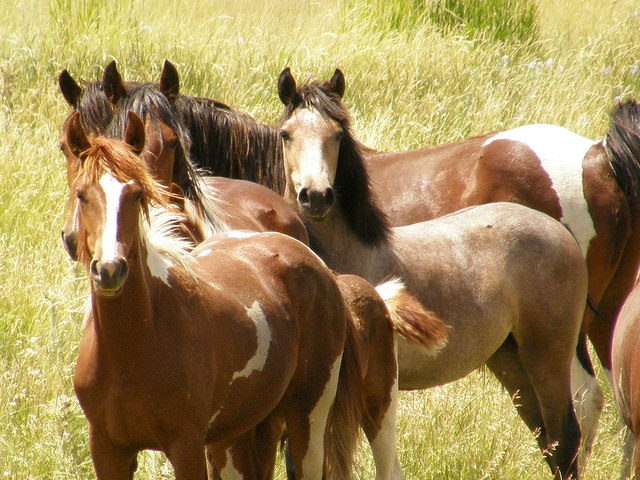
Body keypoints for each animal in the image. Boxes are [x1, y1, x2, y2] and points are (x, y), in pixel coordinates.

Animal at [63, 114, 444, 478]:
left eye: (137, 194)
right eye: (81, 194)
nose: (110, 269)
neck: (134, 343)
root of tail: (321, 269)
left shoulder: (186, 445)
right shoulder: (108, 450)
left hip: (310, 414)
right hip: (241, 433)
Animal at [276, 66, 600, 476]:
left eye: (336, 135)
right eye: (286, 134)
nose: (316, 197)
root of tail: (561, 233)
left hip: (547, 357)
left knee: (566, 438)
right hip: (512, 362)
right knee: (549, 441)